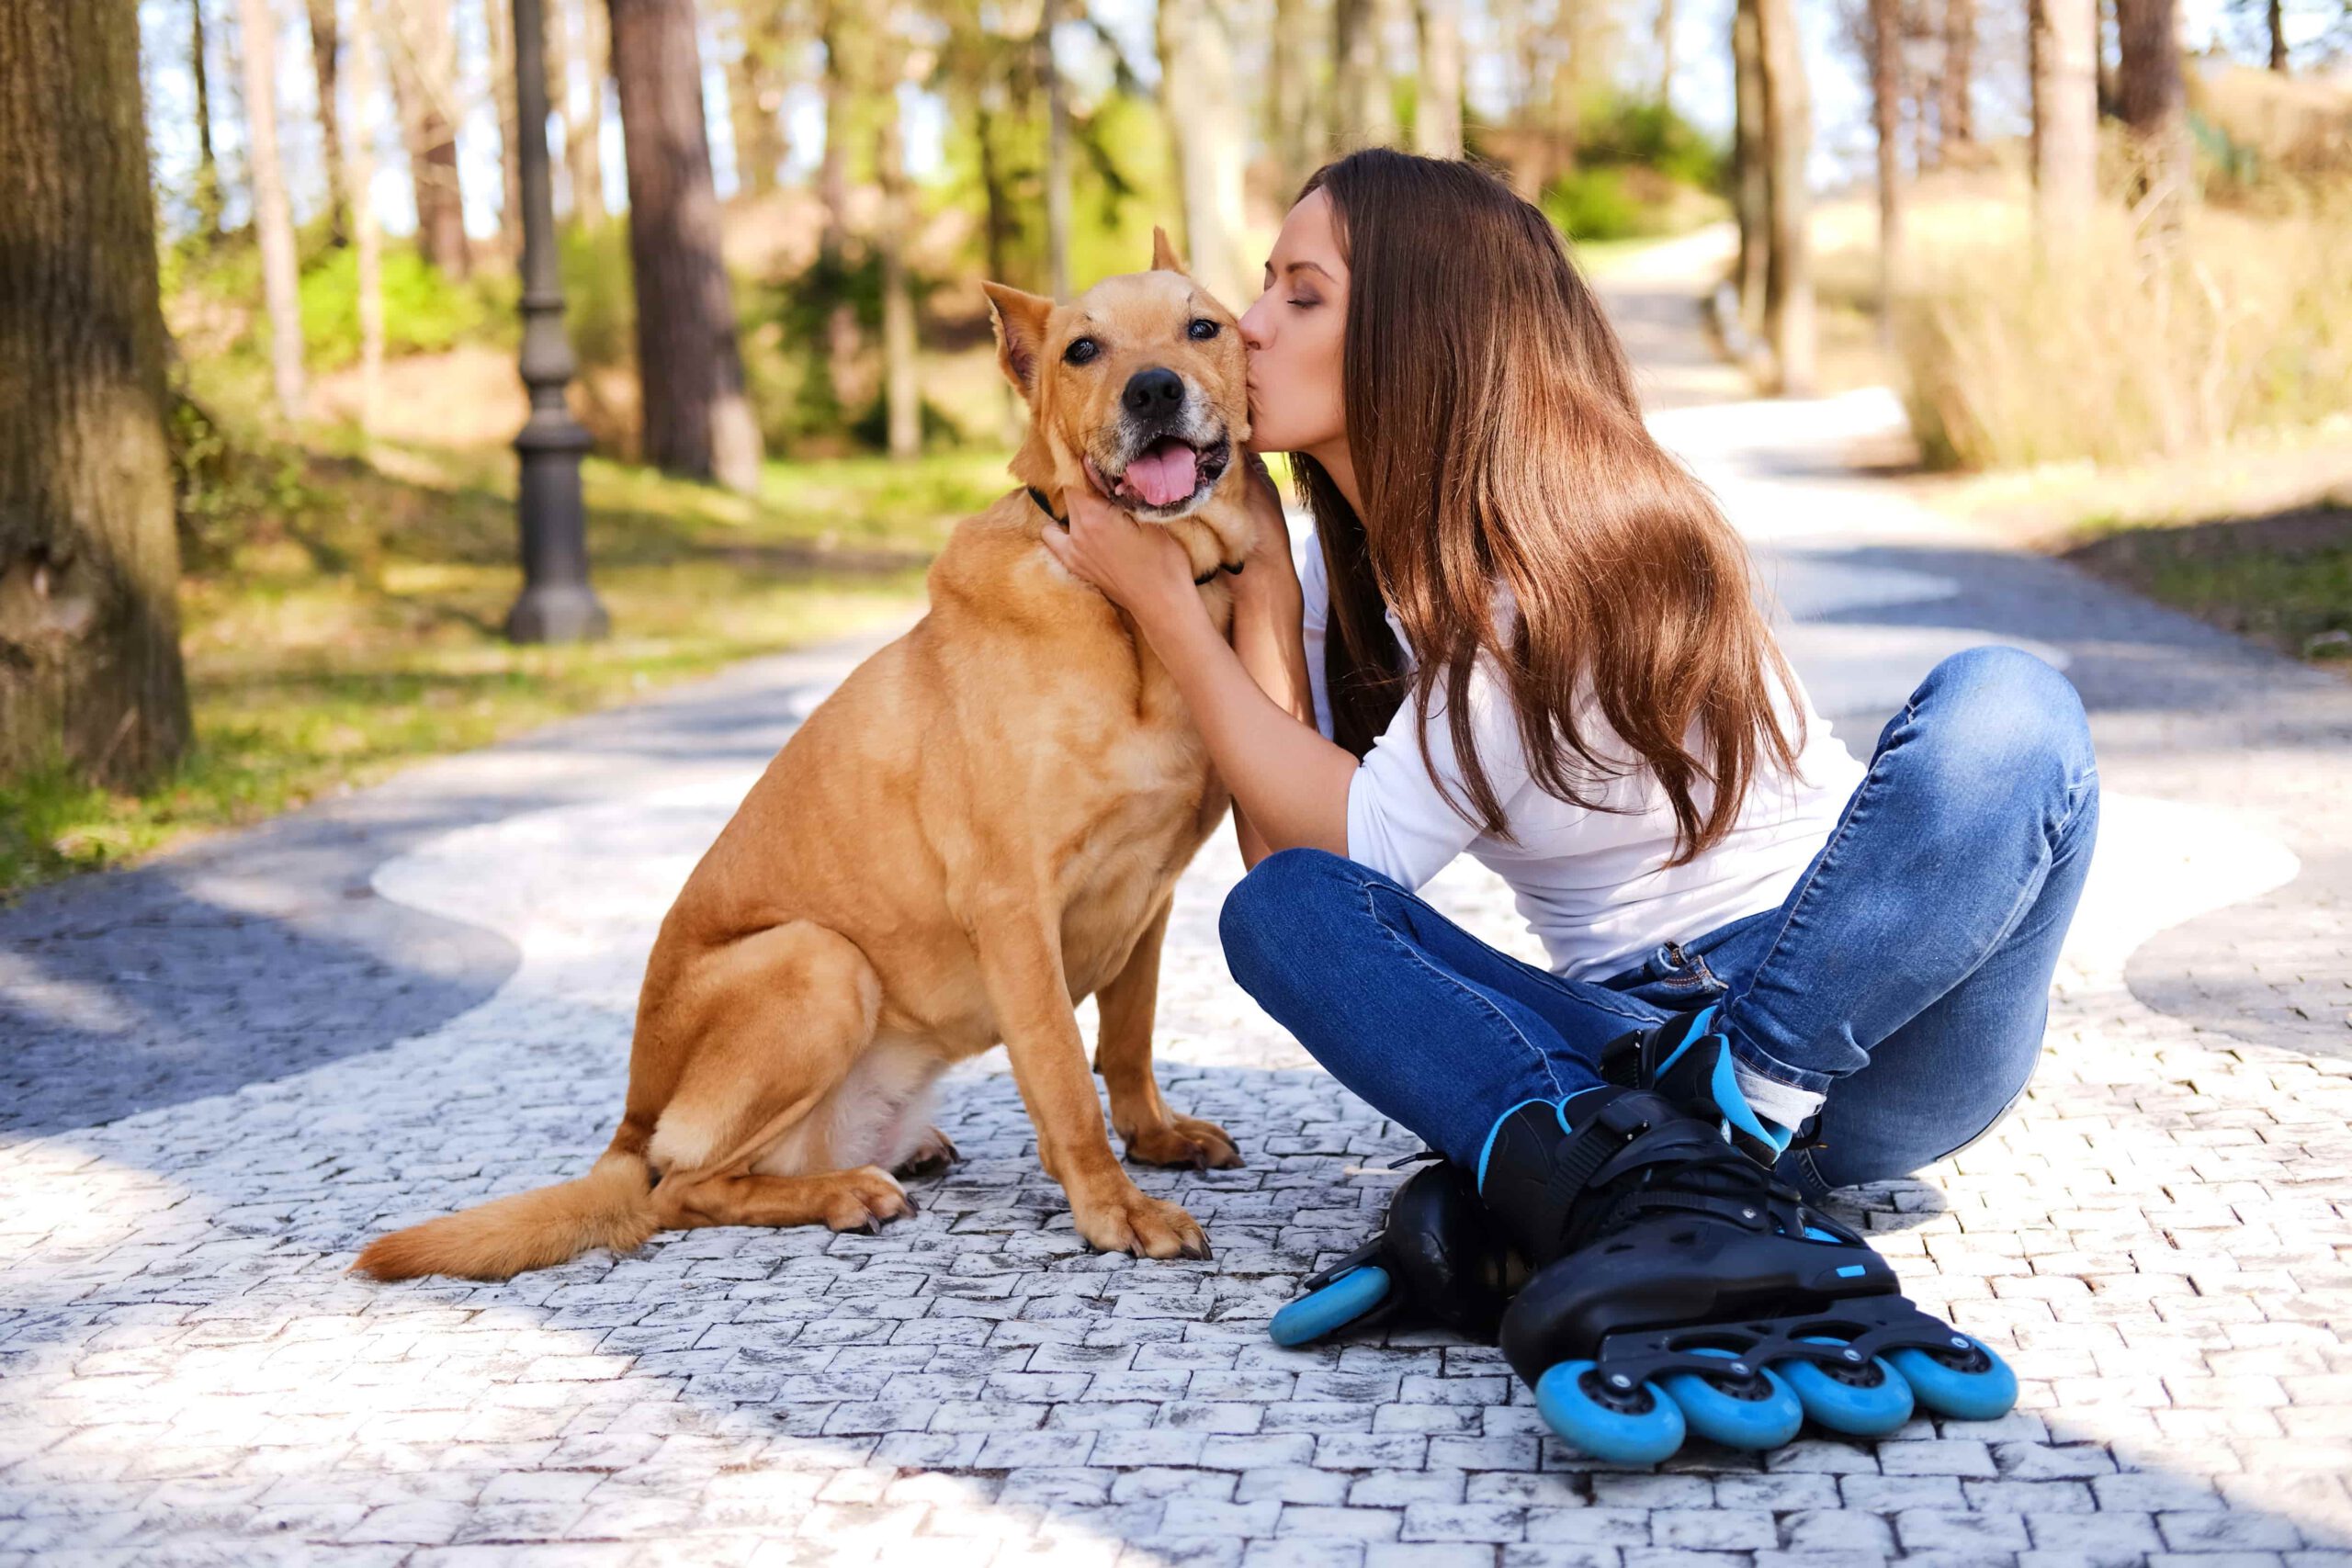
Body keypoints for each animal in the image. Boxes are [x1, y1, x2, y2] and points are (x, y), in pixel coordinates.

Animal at [350, 232, 1261, 1288]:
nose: (1153, 389)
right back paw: (840, 1193)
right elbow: (1067, 1078)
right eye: (1084, 350)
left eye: (1202, 328)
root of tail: (629, 1124)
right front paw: (1115, 1208)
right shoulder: (1014, 907)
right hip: (818, 961)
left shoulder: (1148, 898)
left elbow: (1128, 1043)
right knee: (682, 1190)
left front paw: (1154, 1137)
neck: (1135, 609)